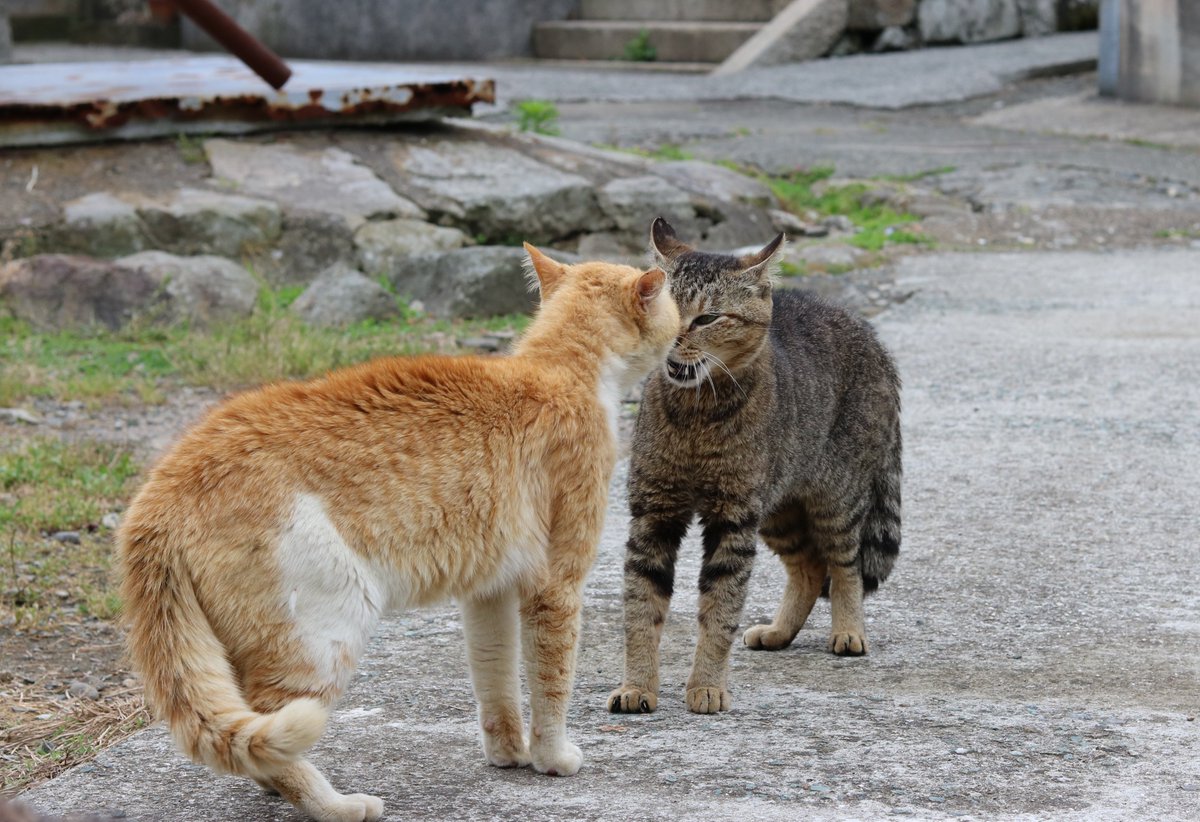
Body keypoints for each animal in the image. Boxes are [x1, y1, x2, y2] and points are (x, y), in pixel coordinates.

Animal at [117, 248, 681, 820]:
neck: (560, 369)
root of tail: (162, 494)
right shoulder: (557, 586)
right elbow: (551, 681)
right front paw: (552, 758)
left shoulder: (489, 592)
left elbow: (495, 676)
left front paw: (508, 753)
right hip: (328, 628)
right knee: (276, 727)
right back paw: (336, 805)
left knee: (249, 733)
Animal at [609, 216, 902, 710]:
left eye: (707, 318)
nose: (669, 342)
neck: (696, 416)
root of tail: (871, 333)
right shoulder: (654, 513)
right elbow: (641, 607)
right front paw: (637, 686)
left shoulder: (733, 519)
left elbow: (720, 608)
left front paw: (707, 684)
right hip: (778, 507)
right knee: (808, 568)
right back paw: (779, 632)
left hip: (835, 496)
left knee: (844, 565)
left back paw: (848, 630)